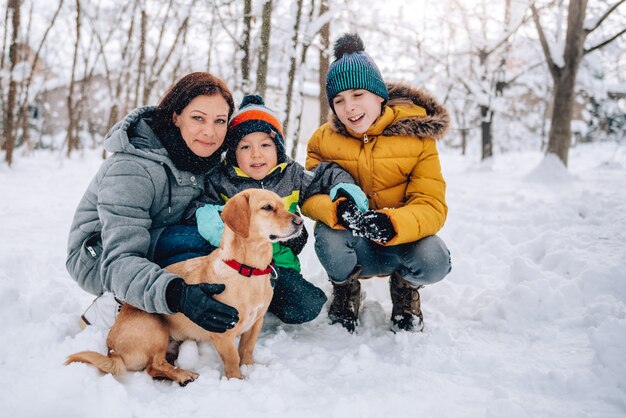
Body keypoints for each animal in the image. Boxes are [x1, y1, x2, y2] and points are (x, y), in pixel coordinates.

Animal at [65, 190, 302, 386]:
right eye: (267, 207)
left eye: (283, 205)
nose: (300, 221)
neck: (247, 269)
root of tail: (112, 351)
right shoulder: (223, 331)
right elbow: (232, 358)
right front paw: (236, 381)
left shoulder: (256, 322)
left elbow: (246, 349)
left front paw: (249, 369)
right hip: (155, 326)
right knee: (154, 365)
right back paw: (183, 375)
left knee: (155, 367)